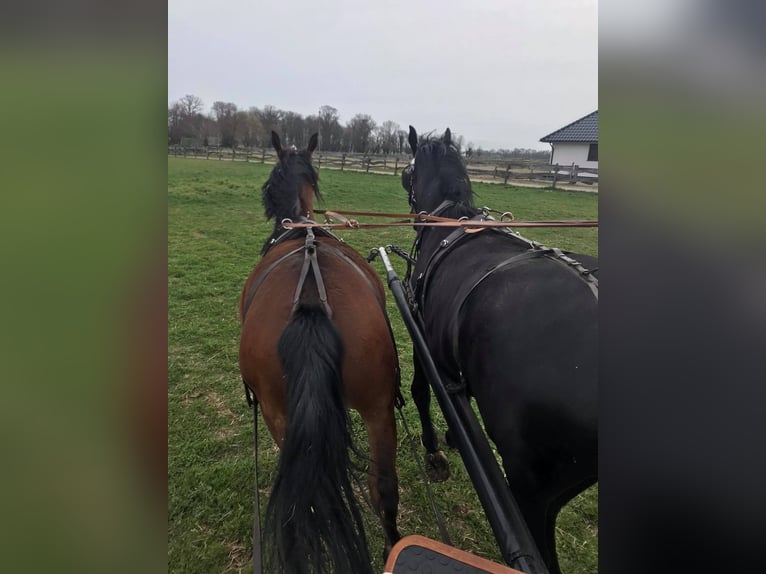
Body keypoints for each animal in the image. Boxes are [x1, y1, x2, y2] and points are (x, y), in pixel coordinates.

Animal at [402, 127, 600, 574]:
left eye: (407, 173)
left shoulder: (425, 341)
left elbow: (421, 392)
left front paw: (435, 450)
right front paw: (452, 437)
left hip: (532, 490)